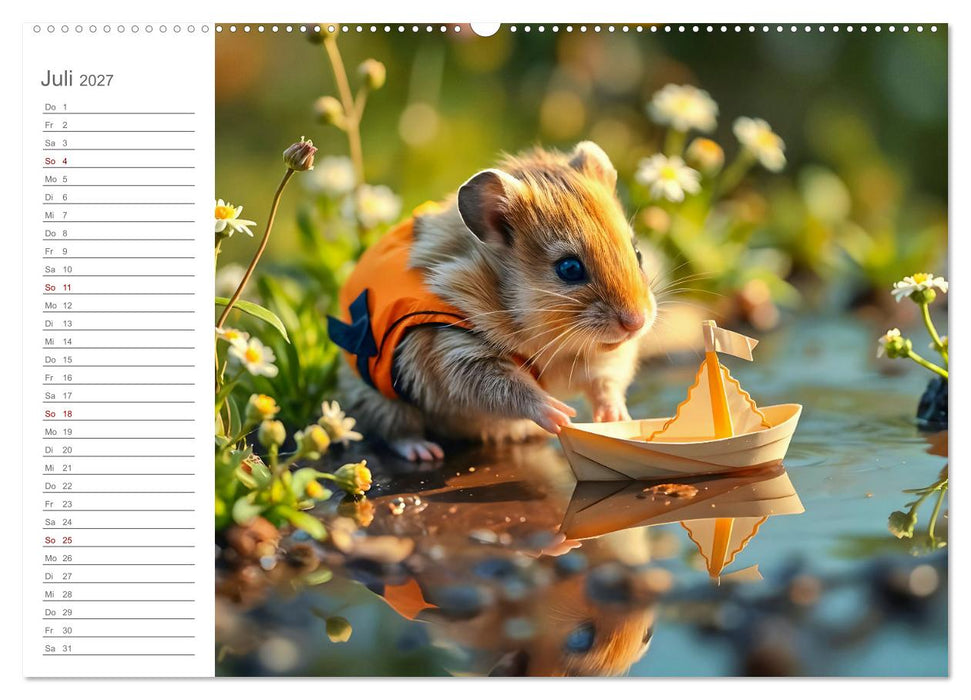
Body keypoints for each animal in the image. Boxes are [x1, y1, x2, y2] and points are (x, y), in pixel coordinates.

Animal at [334, 141, 656, 461]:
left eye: (638, 253)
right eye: (569, 268)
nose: (637, 322)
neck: (553, 342)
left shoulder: (605, 358)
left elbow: (605, 384)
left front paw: (616, 418)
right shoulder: (455, 354)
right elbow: (511, 389)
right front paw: (560, 415)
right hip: (379, 399)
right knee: (396, 430)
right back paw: (425, 451)